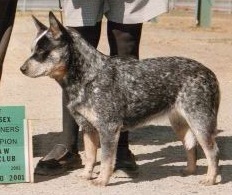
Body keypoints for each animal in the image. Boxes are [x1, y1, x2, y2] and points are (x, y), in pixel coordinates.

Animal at [20, 12, 219, 186]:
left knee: (212, 151)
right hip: (180, 124)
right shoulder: (88, 128)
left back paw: (210, 179)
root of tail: (209, 72)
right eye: (32, 50)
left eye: (42, 51)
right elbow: (90, 157)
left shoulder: (108, 128)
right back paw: (190, 170)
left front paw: (101, 180)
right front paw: (86, 175)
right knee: (191, 147)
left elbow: (106, 159)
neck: (88, 76)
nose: (22, 68)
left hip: (200, 122)